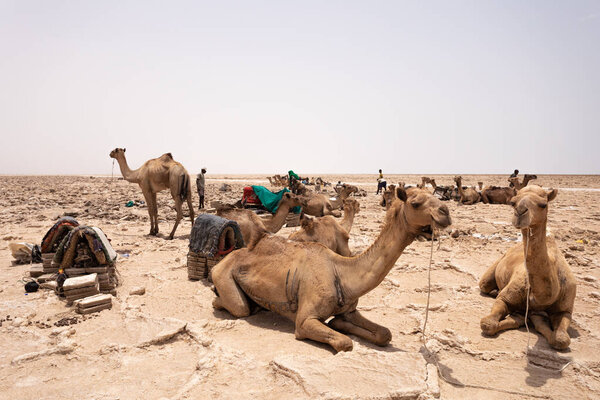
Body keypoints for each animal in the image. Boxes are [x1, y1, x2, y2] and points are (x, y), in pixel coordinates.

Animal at [211, 186, 450, 352]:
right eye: (416, 203)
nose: (445, 212)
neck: (341, 272)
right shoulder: (305, 321)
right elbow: (345, 343)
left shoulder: (350, 309)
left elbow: (385, 333)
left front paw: (339, 323)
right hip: (223, 274)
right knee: (239, 307)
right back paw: (227, 301)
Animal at [478, 186, 576, 348]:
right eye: (512, 202)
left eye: (543, 204)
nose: (520, 212)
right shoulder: (506, 297)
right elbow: (488, 322)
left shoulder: (565, 309)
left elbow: (561, 339)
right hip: (495, 267)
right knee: (484, 285)